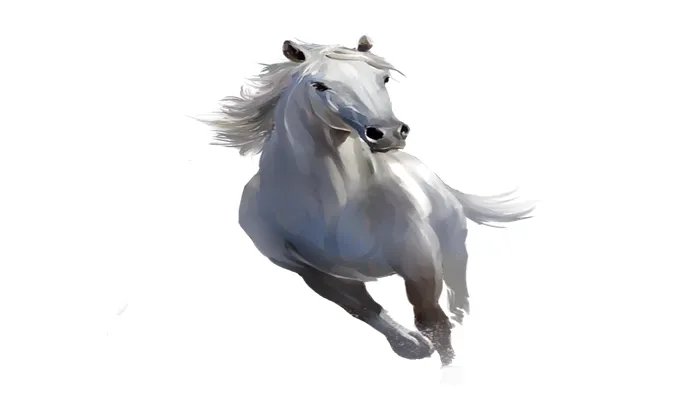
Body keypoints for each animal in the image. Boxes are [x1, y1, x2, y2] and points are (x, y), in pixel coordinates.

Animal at [204, 36, 534, 366]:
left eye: (383, 78)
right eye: (319, 85)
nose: (388, 133)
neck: (333, 208)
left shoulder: (420, 264)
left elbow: (434, 324)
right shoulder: (310, 272)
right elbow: (364, 308)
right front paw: (411, 346)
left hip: (453, 251)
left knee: (459, 297)